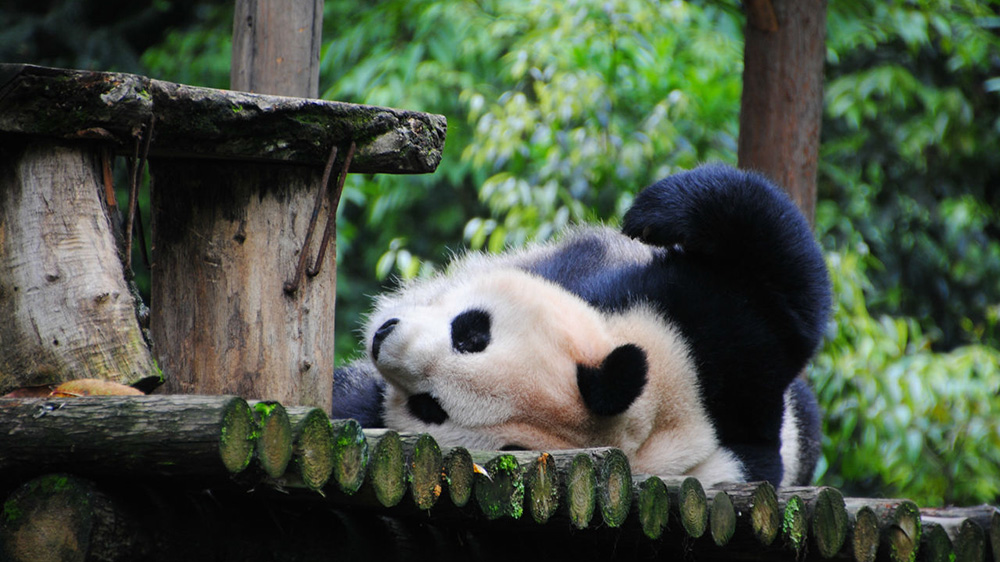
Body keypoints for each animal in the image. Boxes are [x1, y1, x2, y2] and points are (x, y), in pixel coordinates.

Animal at [336, 163, 828, 486]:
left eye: (430, 407)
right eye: (472, 333)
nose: (383, 340)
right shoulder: (703, 327)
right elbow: (787, 283)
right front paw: (650, 216)